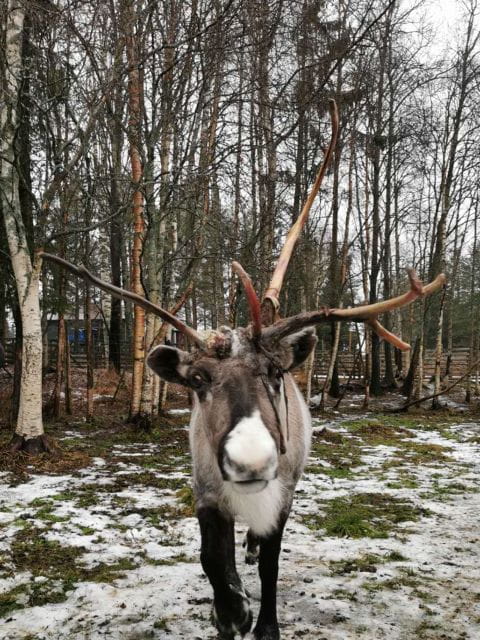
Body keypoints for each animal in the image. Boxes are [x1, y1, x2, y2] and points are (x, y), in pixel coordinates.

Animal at [41, 100, 445, 639]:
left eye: (275, 373)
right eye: (196, 381)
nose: (250, 461)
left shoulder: (282, 494)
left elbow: (271, 563)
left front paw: (264, 621)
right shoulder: (207, 490)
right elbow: (212, 559)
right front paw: (230, 611)